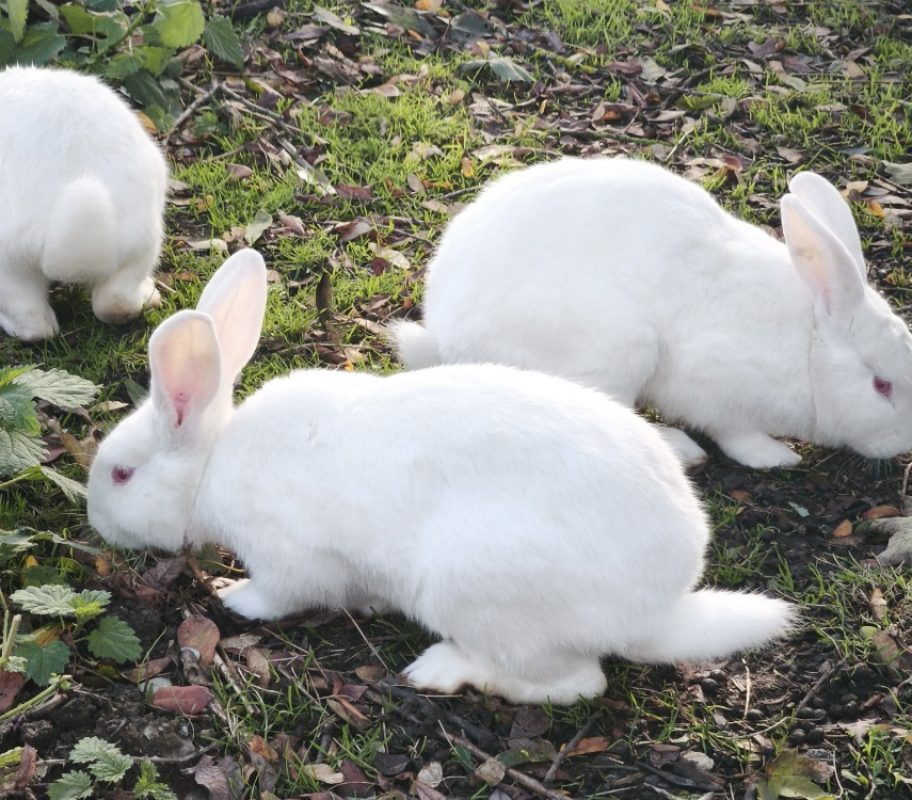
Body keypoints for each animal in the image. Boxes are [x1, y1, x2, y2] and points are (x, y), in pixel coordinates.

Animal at [86, 249, 795, 705]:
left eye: (121, 474)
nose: (95, 523)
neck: (214, 461)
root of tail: (657, 611)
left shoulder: (288, 557)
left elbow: (283, 593)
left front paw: (234, 596)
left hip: (474, 591)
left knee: (574, 683)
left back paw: (441, 670)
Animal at [389, 157, 912, 470]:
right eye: (881, 385)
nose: (903, 445)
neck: (809, 348)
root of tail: (444, 337)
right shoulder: (715, 388)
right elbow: (735, 432)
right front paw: (775, 456)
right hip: (617, 354)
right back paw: (678, 447)